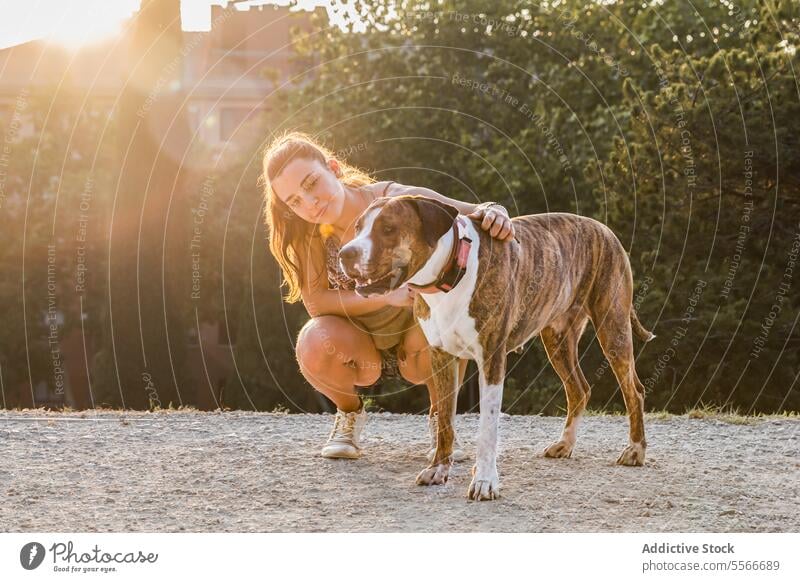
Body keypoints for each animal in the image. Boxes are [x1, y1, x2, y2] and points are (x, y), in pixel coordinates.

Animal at [338, 196, 656, 502]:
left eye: (388, 228)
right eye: (358, 227)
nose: (345, 254)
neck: (452, 274)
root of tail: (603, 229)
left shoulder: (491, 359)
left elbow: (487, 428)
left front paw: (484, 481)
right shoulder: (441, 358)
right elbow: (445, 420)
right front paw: (438, 469)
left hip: (613, 327)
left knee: (634, 390)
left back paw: (635, 450)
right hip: (558, 338)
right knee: (580, 389)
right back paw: (565, 444)